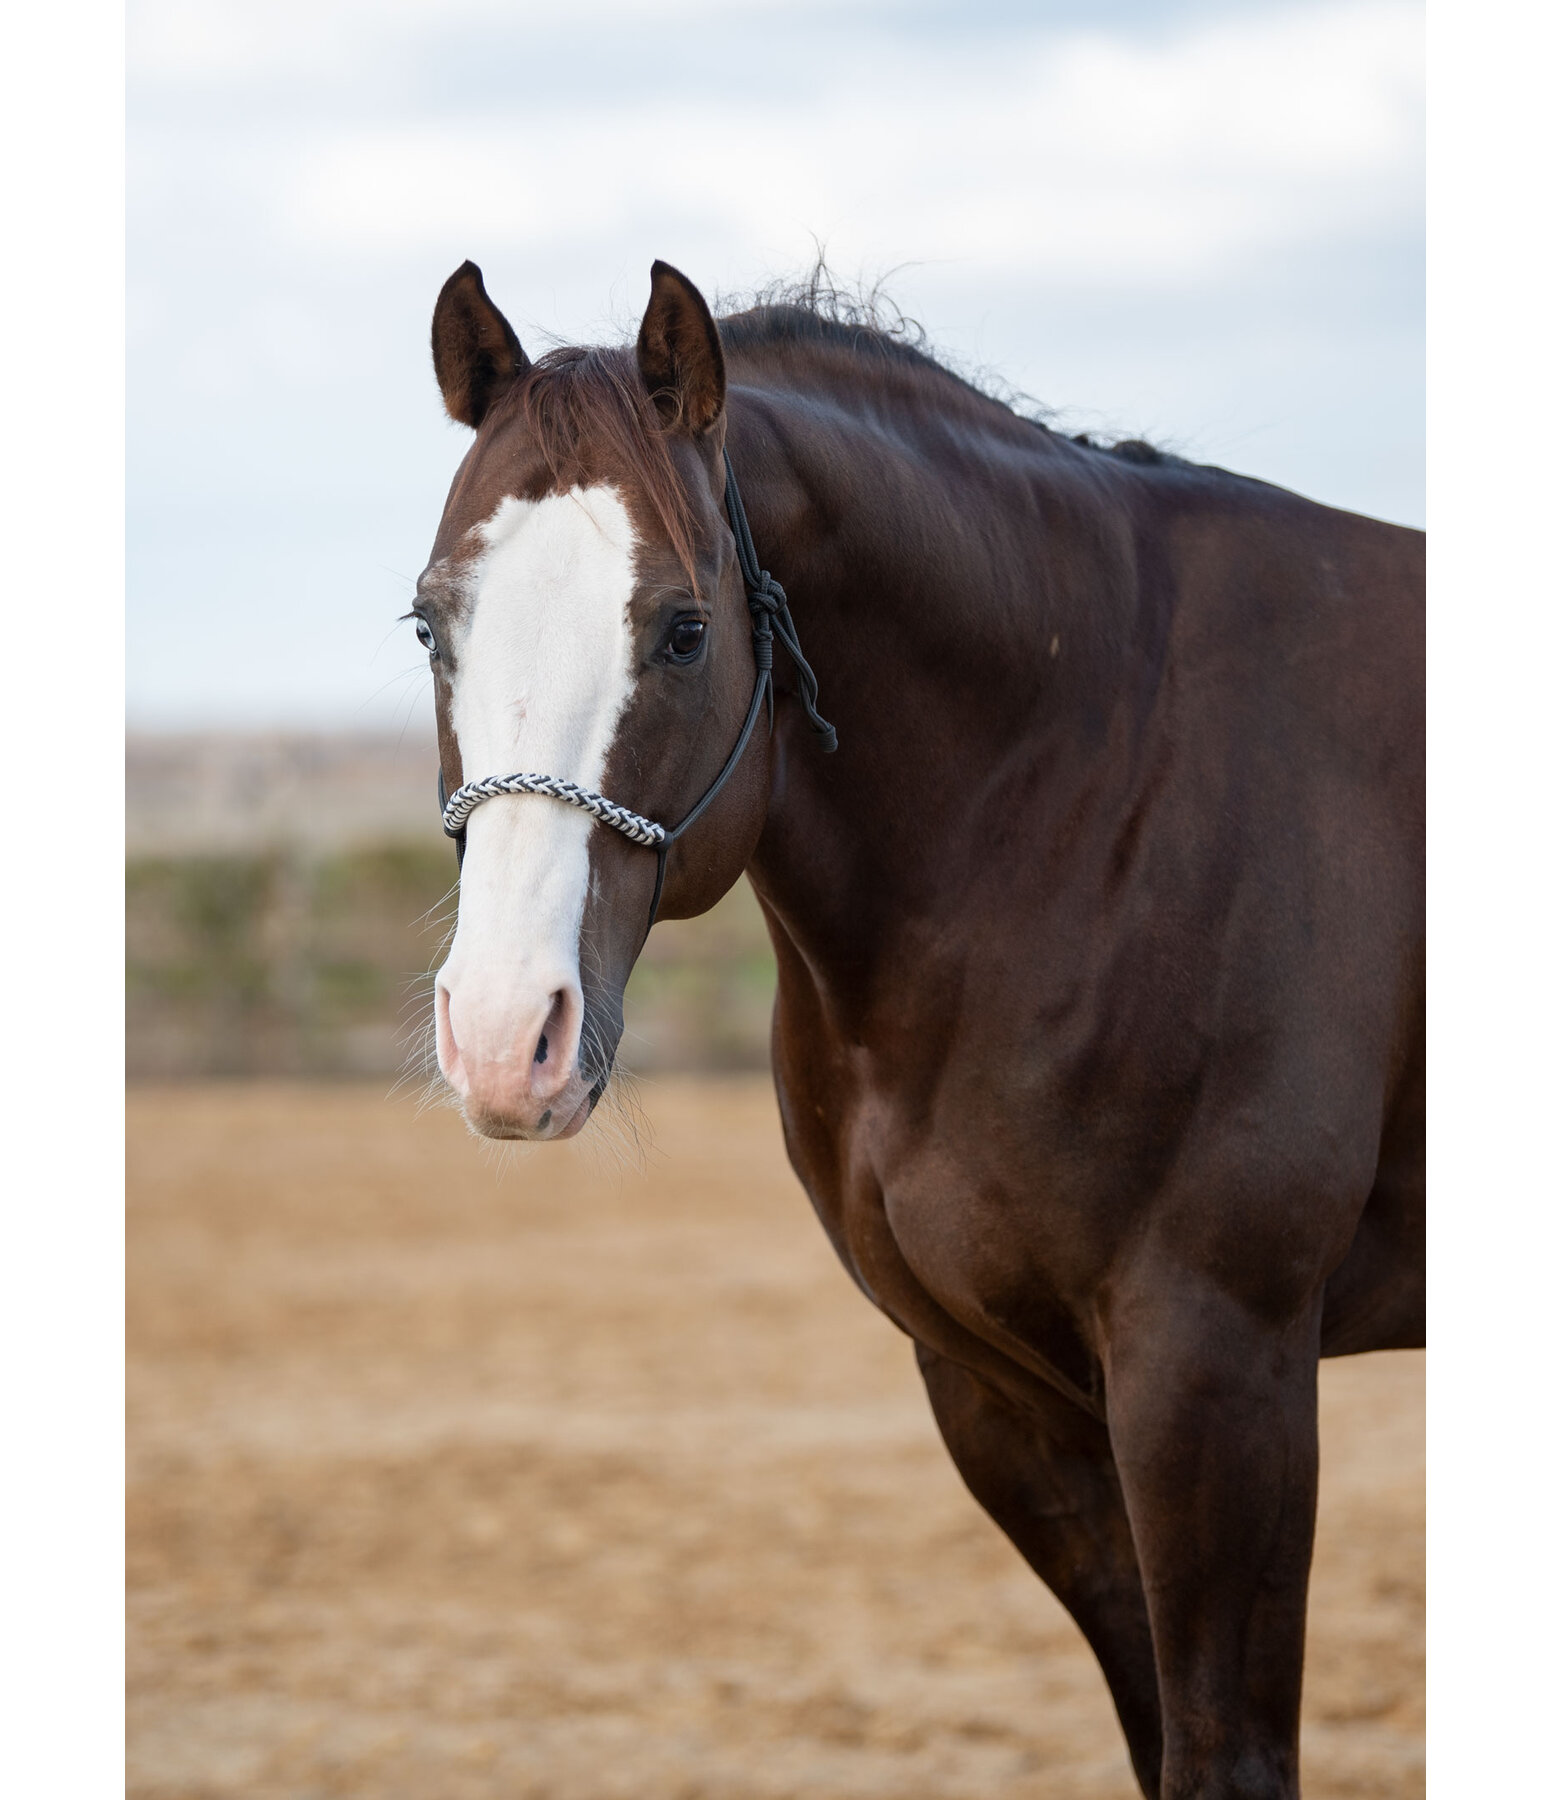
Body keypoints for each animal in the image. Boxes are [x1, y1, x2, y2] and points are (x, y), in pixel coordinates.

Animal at [414, 257, 1425, 1800]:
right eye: (430, 624)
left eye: (684, 629)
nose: (501, 1036)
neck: (1089, 785)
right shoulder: (1006, 1395)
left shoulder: (1218, 1368)